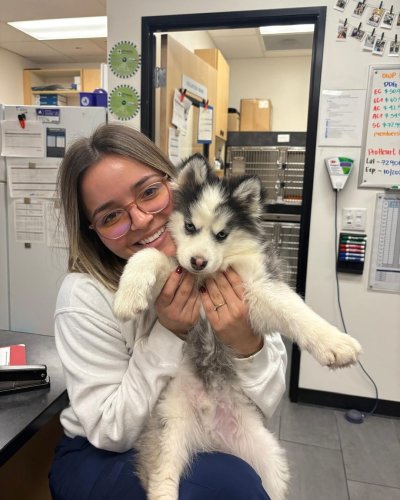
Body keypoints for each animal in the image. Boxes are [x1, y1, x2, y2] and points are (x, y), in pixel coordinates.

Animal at [113, 154, 362, 500]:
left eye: (222, 235)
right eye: (190, 226)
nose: (198, 261)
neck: (206, 278)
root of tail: (209, 434)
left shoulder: (258, 289)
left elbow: (295, 310)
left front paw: (336, 343)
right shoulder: (173, 272)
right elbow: (146, 254)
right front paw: (127, 297)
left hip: (268, 458)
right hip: (170, 425)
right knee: (163, 474)